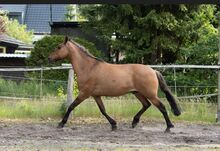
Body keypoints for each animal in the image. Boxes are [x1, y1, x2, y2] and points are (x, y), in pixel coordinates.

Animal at [48, 36, 180, 132]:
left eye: (59, 47)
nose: (49, 58)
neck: (89, 68)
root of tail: (153, 70)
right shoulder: (96, 95)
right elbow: (103, 110)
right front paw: (114, 125)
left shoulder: (84, 94)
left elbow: (71, 106)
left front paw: (61, 123)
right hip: (137, 93)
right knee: (146, 105)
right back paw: (134, 122)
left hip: (150, 94)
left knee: (161, 107)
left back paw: (169, 127)